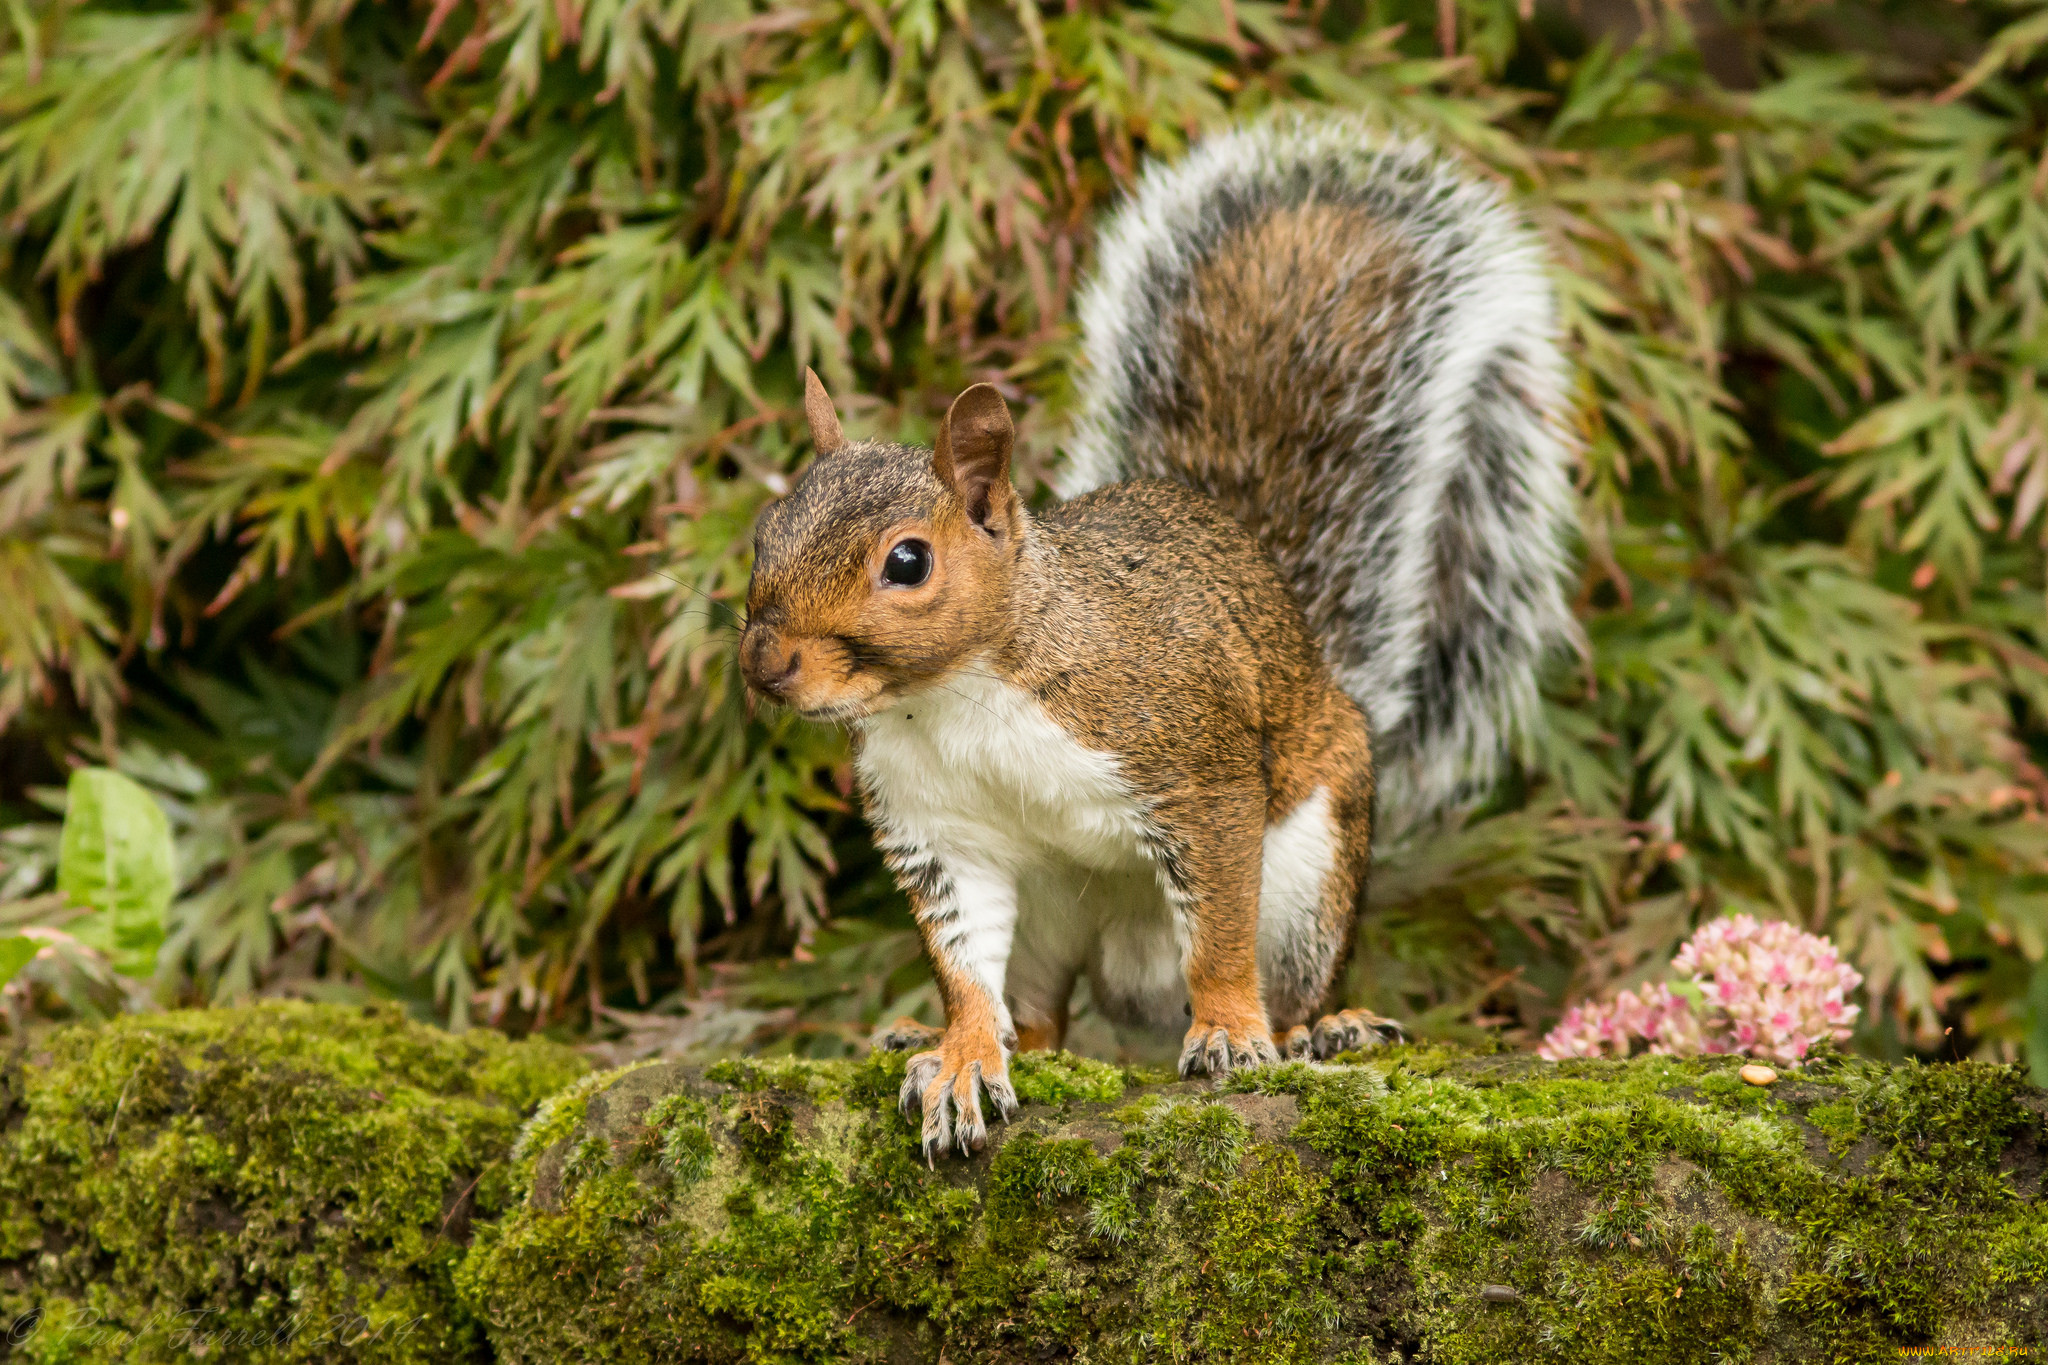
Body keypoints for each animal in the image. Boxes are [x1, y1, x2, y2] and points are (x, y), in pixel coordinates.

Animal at [745, 120, 1572, 1162]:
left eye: (907, 561)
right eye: (764, 531)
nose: (763, 666)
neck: (957, 698)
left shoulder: (1195, 770)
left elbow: (1217, 935)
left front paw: (1228, 1033)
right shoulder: (942, 829)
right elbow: (966, 968)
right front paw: (964, 1057)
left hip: (1308, 871)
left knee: (1283, 975)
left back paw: (1319, 1028)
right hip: (1051, 916)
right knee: (1041, 1017)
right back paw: (937, 1036)